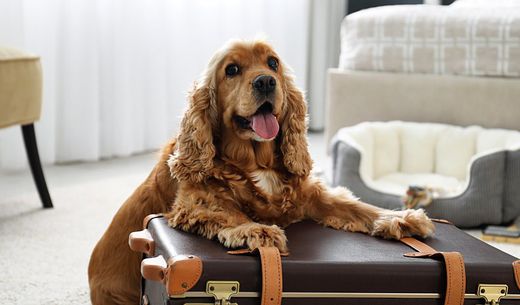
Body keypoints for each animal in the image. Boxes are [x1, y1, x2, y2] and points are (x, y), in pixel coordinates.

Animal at [88, 40, 434, 304]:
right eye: (232, 70)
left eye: (272, 63)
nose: (266, 81)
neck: (256, 162)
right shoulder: (193, 204)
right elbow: (229, 212)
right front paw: (257, 230)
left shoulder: (309, 196)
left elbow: (355, 206)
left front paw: (400, 217)